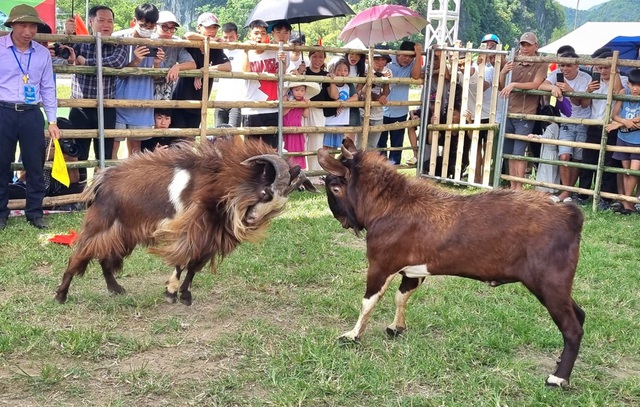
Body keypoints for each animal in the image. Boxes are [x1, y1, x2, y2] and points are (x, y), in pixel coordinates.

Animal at [57, 138, 312, 306]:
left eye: (278, 205)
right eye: (265, 193)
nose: (250, 219)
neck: (219, 183)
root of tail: (101, 182)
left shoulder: (208, 236)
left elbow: (193, 266)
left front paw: (185, 296)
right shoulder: (187, 229)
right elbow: (181, 261)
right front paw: (171, 292)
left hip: (121, 232)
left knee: (104, 257)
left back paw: (116, 289)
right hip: (101, 223)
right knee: (79, 254)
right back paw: (60, 295)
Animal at [316, 140, 584, 388]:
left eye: (335, 187)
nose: (341, 219)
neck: (391, 204)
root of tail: (570, 216)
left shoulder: (381, 264)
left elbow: (369, 301)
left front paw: (352, 335)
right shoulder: (413, 271)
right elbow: (401, 297)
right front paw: (396, 327)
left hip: (548, 282)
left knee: (572, 328)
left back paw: (558, 378)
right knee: (579, 313)